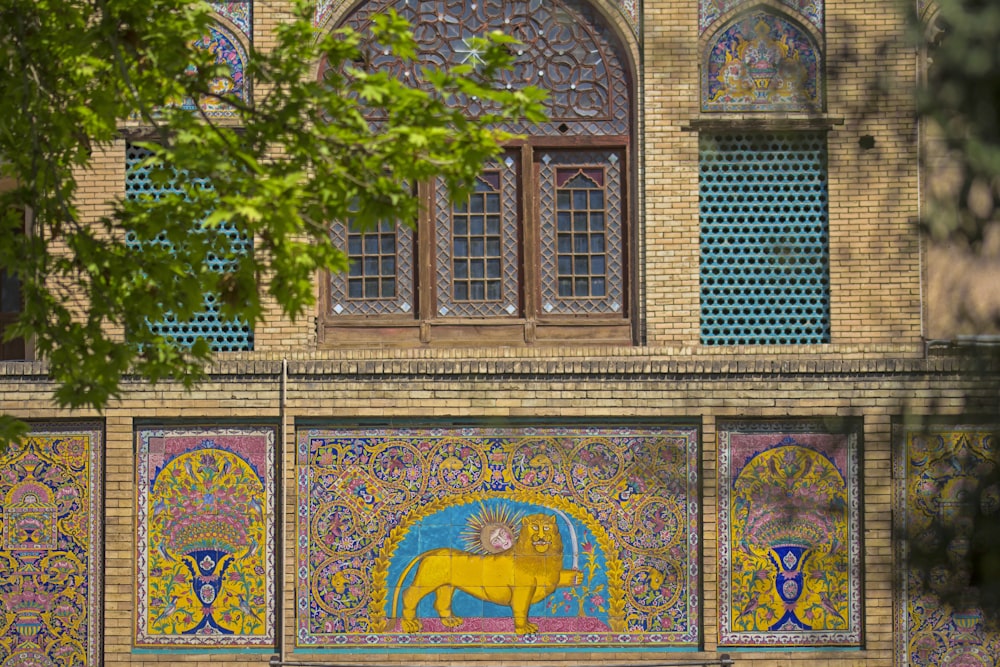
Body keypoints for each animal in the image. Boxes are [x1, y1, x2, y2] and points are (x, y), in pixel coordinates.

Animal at [390, 516, 580, 636]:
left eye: (546, 527)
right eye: (534, 527)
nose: (540, 537)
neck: (540, 557)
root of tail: (434, 551)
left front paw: (576, 577)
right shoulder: (522, 589)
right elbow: (521, 608)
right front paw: (523, 629)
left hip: (446, 586)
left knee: (441, 602)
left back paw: (450, 621)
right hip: (428, 580)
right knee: (409, 594)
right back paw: (410, 624)